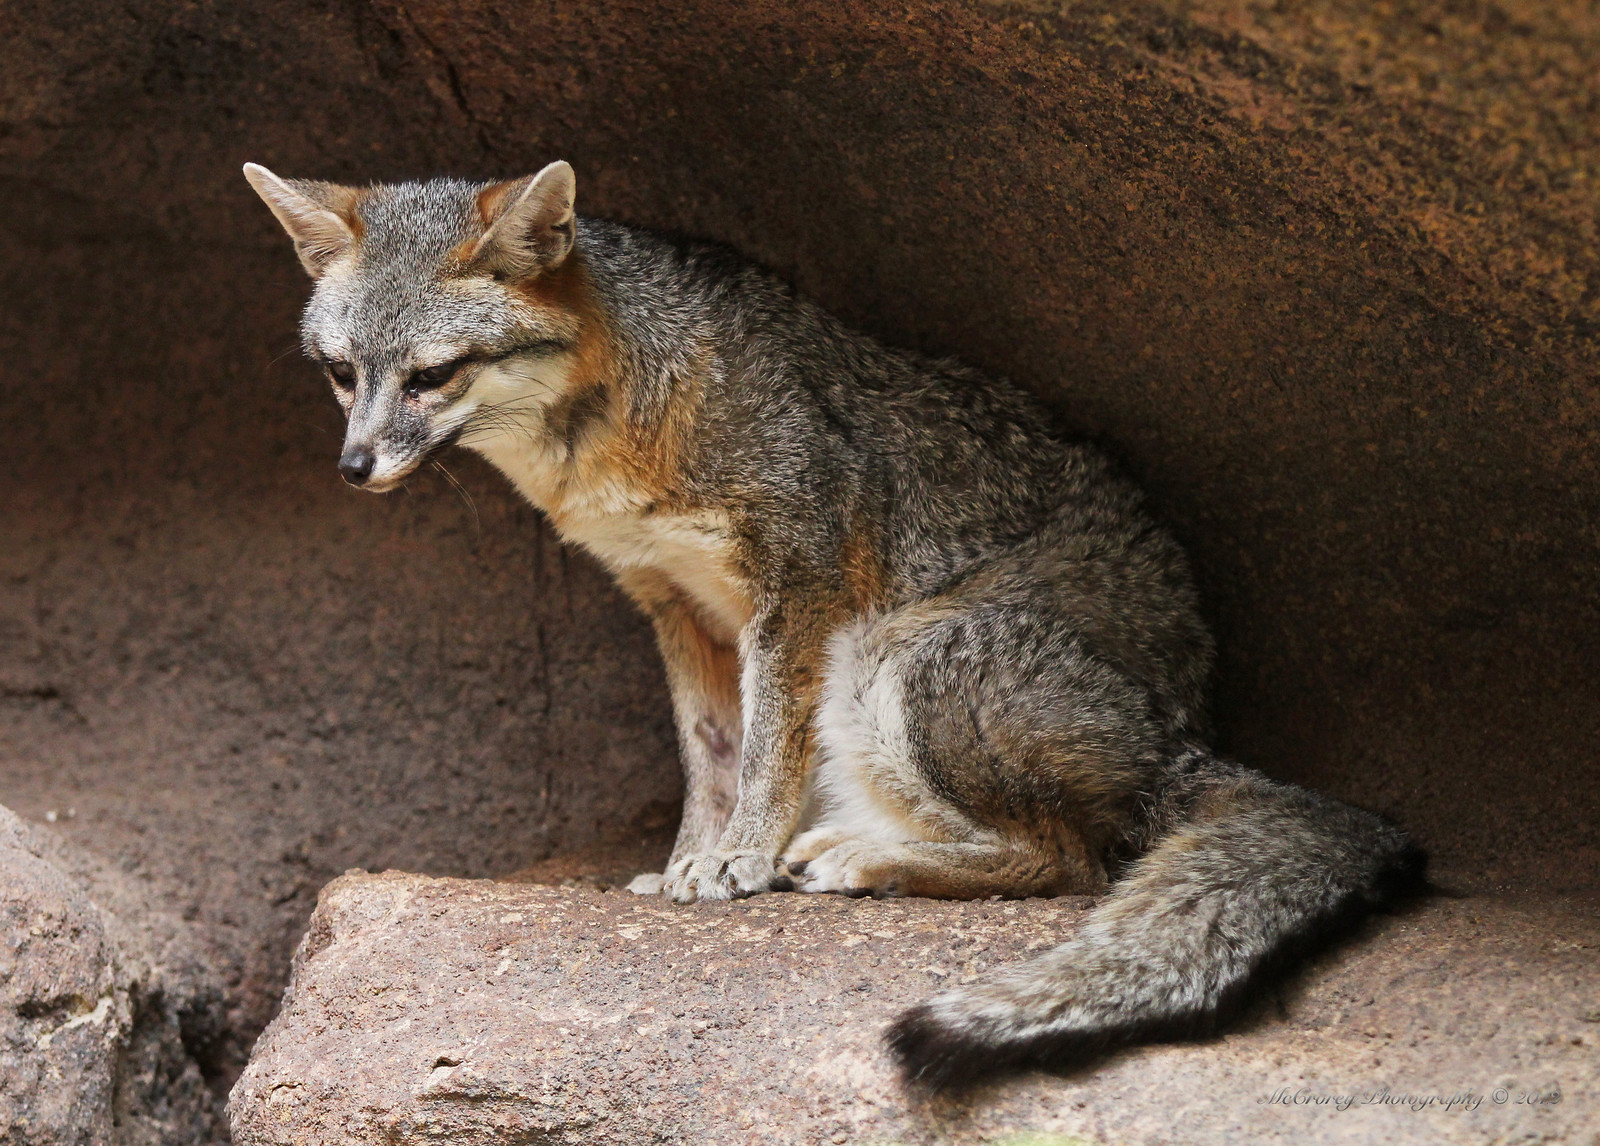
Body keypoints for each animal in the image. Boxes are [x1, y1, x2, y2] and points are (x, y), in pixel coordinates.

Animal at [244, 159, 1422, 1083]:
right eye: (342, 375)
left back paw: (867, 861)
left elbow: (769, 745)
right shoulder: (673, 604)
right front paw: (691, 859)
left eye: (433, 377)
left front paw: (740, 860)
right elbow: (710, 754)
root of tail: (1189, 735)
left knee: (1073, 861)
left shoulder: (799, 580)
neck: (614, 428)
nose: (353, 468)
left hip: (897, 654)